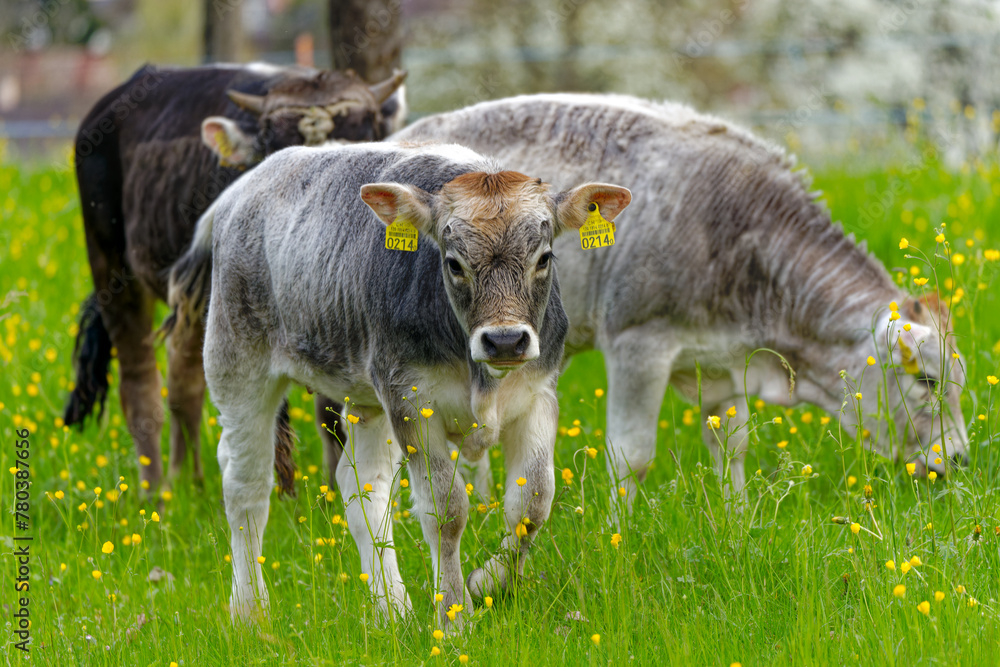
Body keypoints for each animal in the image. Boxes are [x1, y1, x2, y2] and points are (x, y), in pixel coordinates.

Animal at [65, 64, 406, 490]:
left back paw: (190, 483)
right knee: (141, 386)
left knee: (184, 382)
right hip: (114, 270)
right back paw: (155, 491)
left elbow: (331, 413)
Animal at [168, 142, 628, 628]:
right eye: (453, 263)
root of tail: (243, 188)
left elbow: (532, 504)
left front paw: (485, 584)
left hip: (367, 401)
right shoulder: (413, 404)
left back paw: (392, 609)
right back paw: (251, 612)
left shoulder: (536, 397)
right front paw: (454, 617)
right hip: (237, 367)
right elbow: (446, 512)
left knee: (362, 491)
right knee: (247, 489)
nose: (505, 340)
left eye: (543, 258)